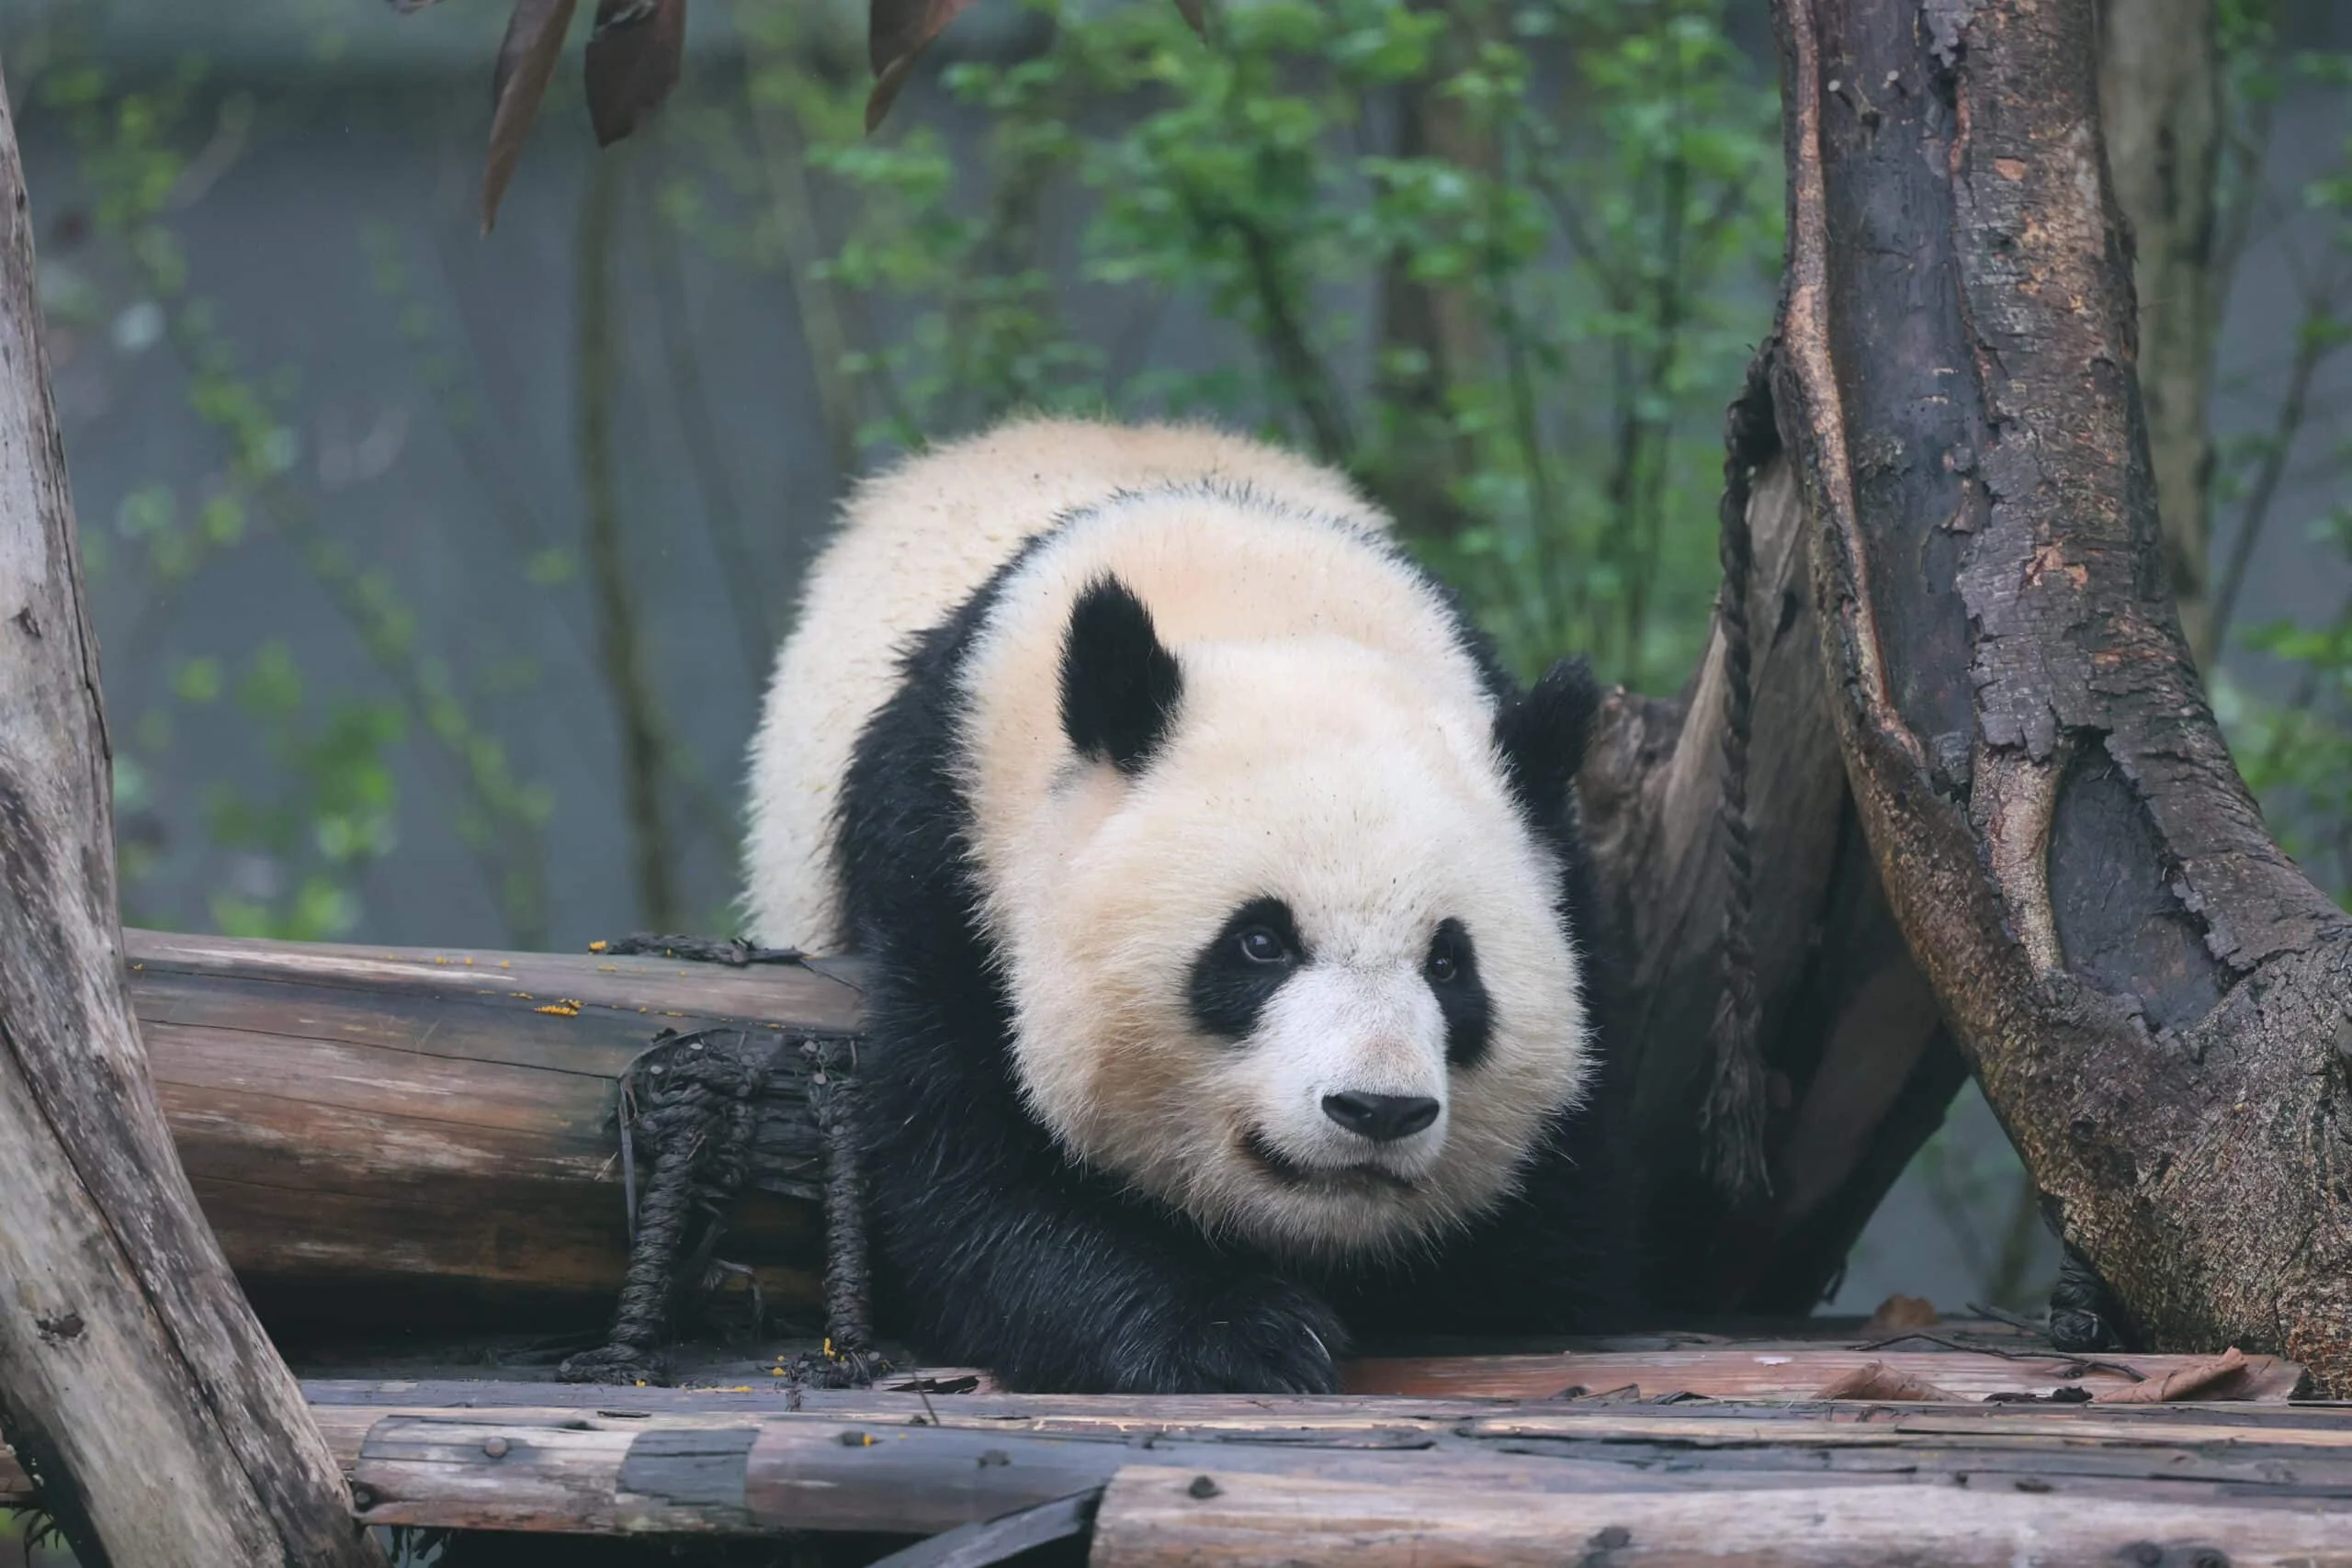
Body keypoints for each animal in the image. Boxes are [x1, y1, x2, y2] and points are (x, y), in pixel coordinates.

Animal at [742, 415, 1637, 1394]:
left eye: (1449, 963)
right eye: (1259, 943)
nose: (1378, 1109)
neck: (1258, 601)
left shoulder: (1561, 868)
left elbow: (1563, 1239)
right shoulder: (948, 863)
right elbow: (959, 1180)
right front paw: (1246, 1334)